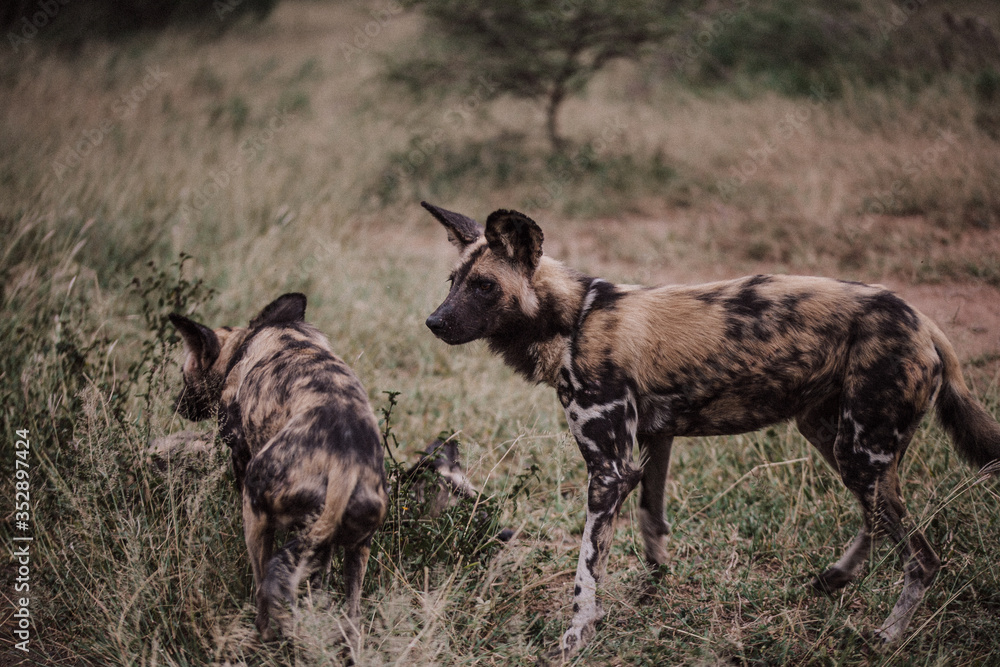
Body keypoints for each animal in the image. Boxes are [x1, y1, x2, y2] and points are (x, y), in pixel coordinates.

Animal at [170, 292, 388, 652]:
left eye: (183, 372)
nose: (176, 405)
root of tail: (346, 463)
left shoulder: (240, 456)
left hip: (255, 513)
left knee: (263, 593)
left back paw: (260, 635)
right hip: (354, 548)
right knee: (352, 619)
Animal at [420, 201, 1000, 660]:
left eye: (485, 287)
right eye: (452, 283)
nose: (433, 322)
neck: (573, 323)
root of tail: (922, 320)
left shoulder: (608, 470)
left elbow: (586, 570)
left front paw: (578, 634)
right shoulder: (651, 446)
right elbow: (651, 525)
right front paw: (649, 593)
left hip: (860, 451)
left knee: (922, 558)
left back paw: (887, 636)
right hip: (837, 441)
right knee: (879, 519)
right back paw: (836, 578)